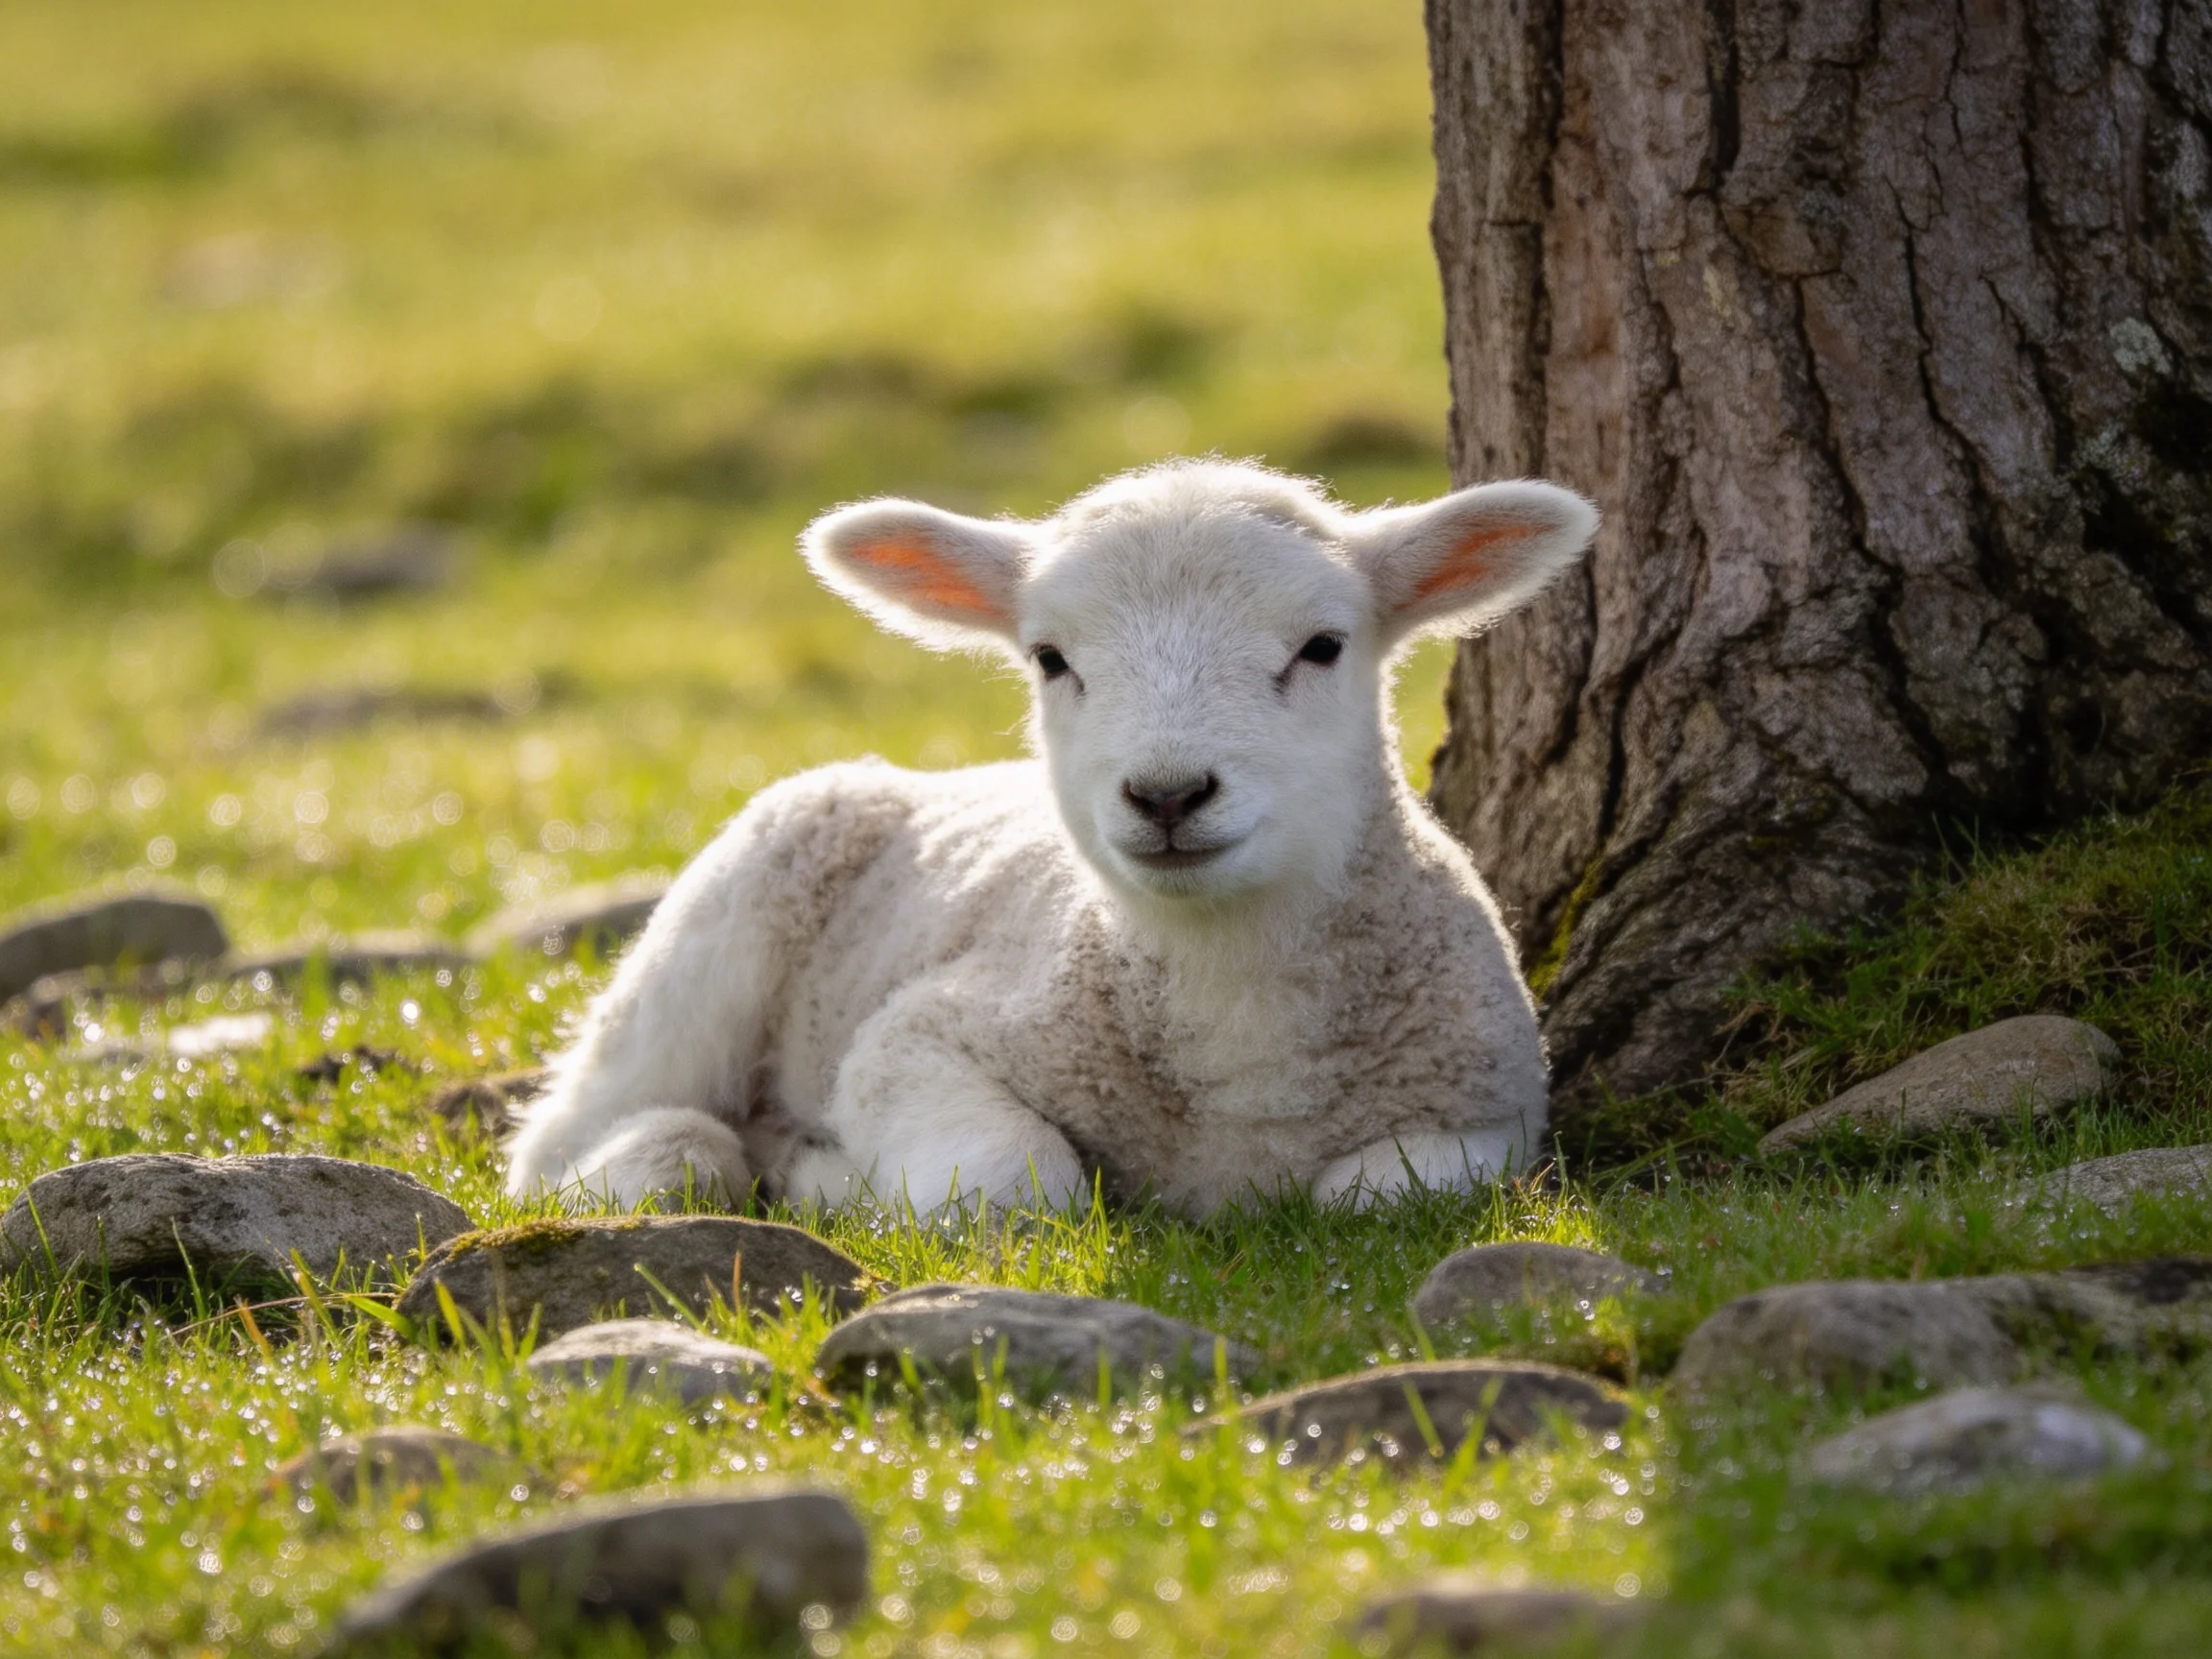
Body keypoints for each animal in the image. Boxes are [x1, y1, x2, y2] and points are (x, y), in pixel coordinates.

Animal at [505, 460, 1597, 1218]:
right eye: (1050, 659)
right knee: (563, 1143)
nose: (1166, 793)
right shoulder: (919, 1039)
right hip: (719, 932)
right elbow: (1013, 1189)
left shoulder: (1489, 1108)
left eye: (1323, 647)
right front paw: (833, 1180)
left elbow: (1381, 1193)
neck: (1231, 997)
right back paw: (672, 1153)